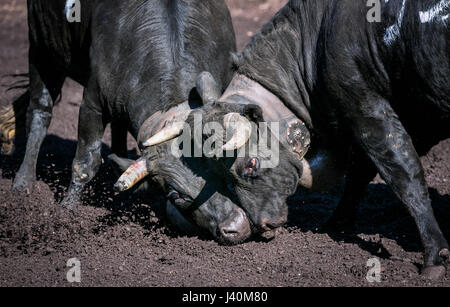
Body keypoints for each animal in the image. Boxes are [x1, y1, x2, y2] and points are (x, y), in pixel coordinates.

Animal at [139, 0, 448, 280]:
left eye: (249, 164)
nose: (263, 224)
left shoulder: (368, 110)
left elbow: (404, 177)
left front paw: (434, 256)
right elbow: (362, 174)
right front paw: (336, 223)